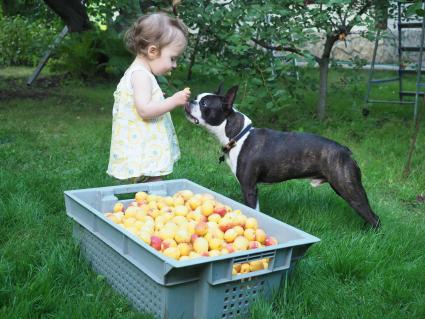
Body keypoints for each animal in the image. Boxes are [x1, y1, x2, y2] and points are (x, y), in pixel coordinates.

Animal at [184, 84, 380, 230]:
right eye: (197, 97)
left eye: (204, 104)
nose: (190, 100)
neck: (237, 135)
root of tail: (346, 150)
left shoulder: (249, 188)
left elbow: (253, 209)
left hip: (348, 188)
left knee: (374, 217)